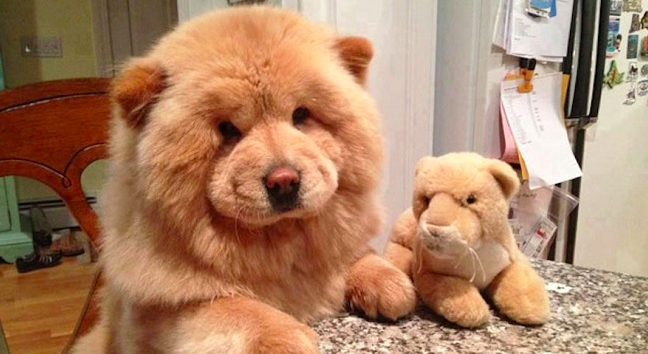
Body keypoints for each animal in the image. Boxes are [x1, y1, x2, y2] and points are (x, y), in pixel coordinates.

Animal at [71, 5, 416, 354]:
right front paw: (287, 337)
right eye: (227, 130)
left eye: (301, 115)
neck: (278, 242)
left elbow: (358, 254)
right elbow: (235, 306)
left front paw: (389, 282)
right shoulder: (154, 312)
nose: (284, 180)